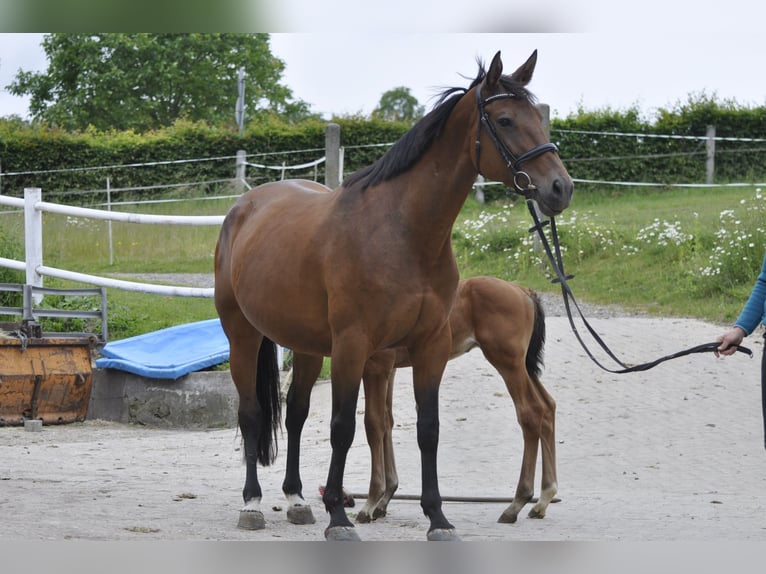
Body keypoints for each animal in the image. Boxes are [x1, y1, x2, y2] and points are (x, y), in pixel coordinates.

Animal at [284, 276, 556, 528]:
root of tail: (522, 290)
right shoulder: (390, 369)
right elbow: (387, 421)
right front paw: (385, 498)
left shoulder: (377, 367)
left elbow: (374, 424)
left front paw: (371, 502)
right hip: (523, 366)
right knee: (547, 407)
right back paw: (543, 499)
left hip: (507, 362)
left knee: (530, 412)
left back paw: (517, 503)